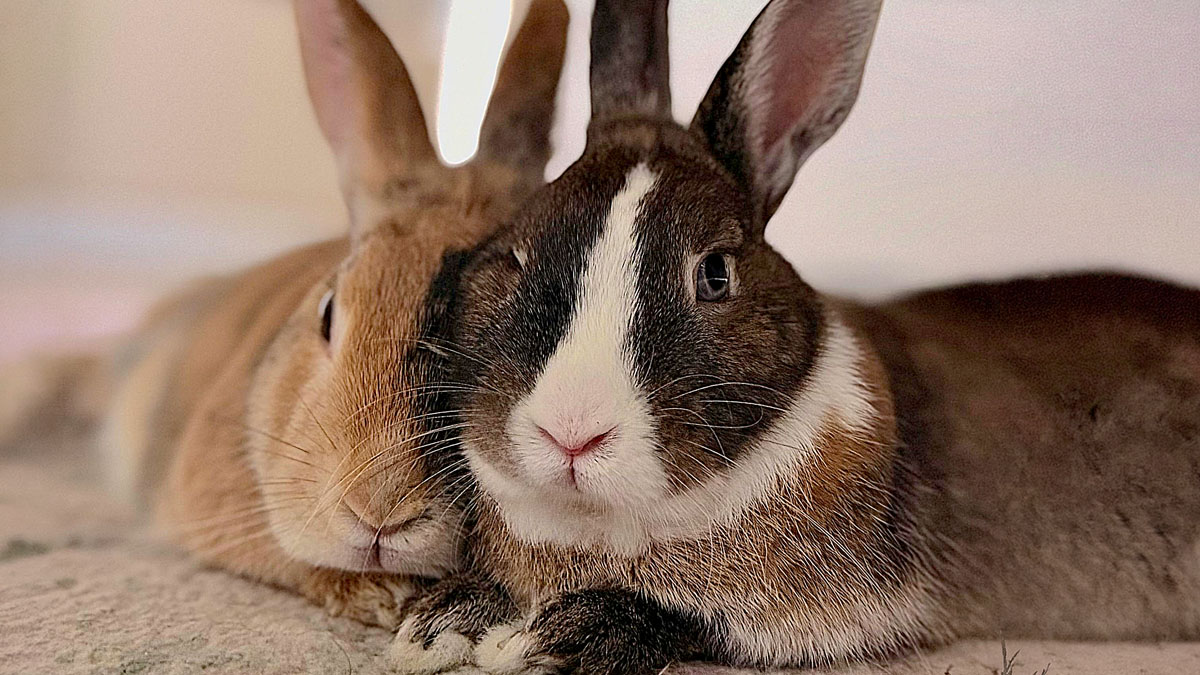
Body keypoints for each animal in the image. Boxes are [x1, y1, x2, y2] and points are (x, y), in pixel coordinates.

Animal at [387, 0, 1200, 672]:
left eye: (715, 273)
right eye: (516, 252)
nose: (572, 435)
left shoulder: (838, 606)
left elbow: (698, 622)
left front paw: (548, 639)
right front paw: (438, 624)